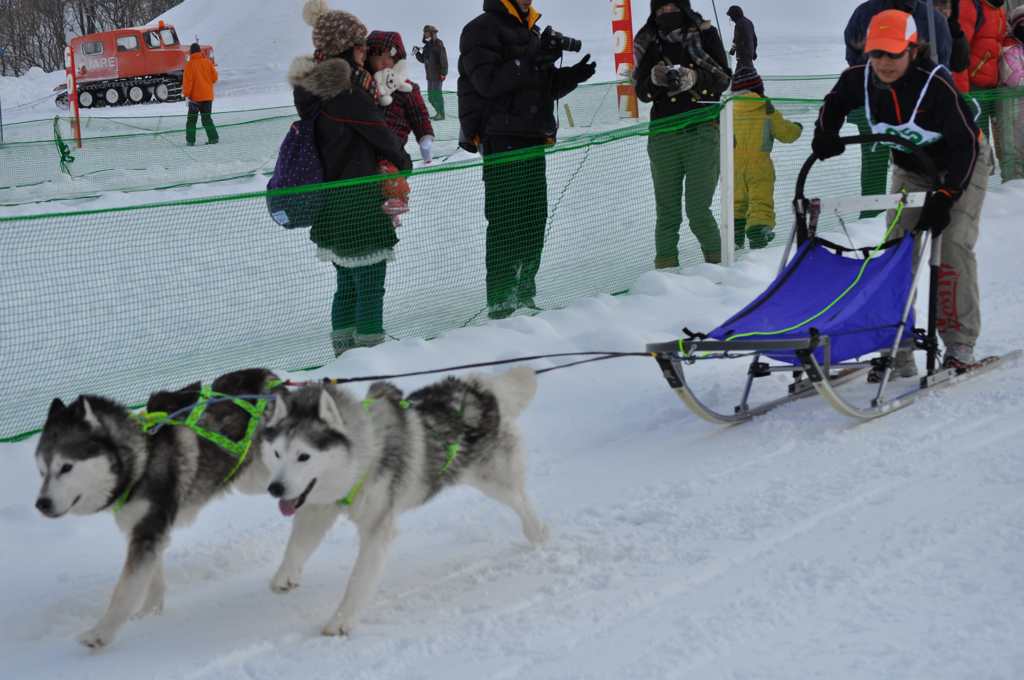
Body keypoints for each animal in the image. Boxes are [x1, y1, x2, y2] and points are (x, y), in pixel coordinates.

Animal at [36, 366, 284, 647]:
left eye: (66, 467)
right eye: (42, 471)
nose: (41, 504)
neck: (141, 459)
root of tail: (271, 377)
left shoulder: (147, 532)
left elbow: (123, 592)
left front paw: (100, 633)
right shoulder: (147, 533)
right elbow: (152, 578)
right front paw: (150, 611)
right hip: (255, 481)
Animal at [264, 366, 552, 639]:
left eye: (303, 456)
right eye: (277, 453)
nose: (274, 488)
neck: (364, 455)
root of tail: (477, 387)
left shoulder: (378, 531)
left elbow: (357, 582)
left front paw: (341, 621)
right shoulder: (317, 507)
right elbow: (295, 545)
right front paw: (285, 575)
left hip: (495, 482)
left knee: (521, 502)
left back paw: (539, 534)